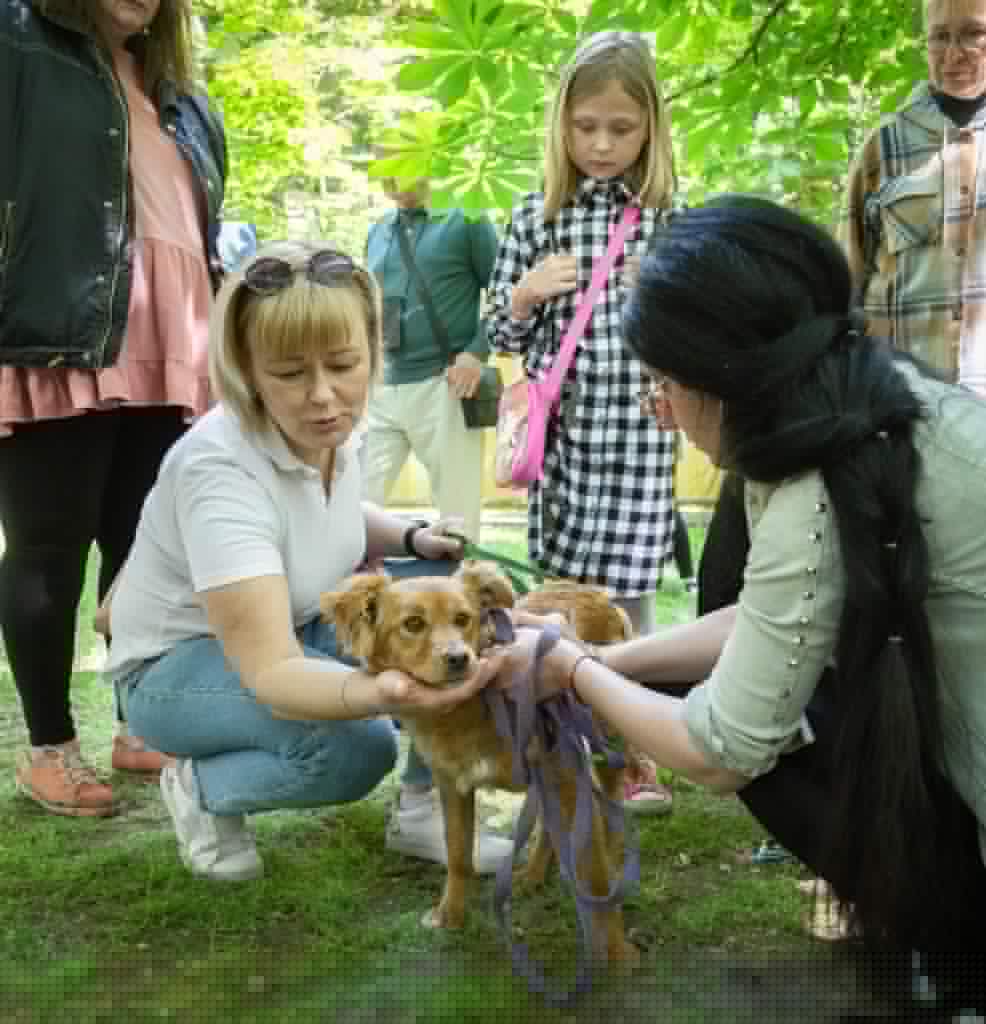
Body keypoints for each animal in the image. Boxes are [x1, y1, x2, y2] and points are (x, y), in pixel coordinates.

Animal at [319, 561, 634, 966]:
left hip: (601, 741)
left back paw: (611, 858)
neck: (469, 710)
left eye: (463, 618)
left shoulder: (565, 771)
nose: (458, 659)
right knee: (549, 826)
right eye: (413, 624)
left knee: (611, 805)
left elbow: (593, 869)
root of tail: (591, 590)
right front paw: (450, 916)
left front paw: (616, 951)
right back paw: (532, 875)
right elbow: (458, 856)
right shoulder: (453, 785)